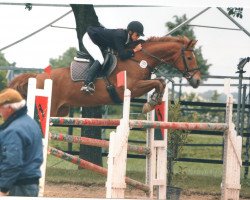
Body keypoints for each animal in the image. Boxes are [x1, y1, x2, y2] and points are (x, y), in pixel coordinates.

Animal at [8, 36, 201, 117]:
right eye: (190, 58)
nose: (197, 80)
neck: (139, 59)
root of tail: (37, 76)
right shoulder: (132, 87)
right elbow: (158, 82)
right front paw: (150, 104)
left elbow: (160, 82)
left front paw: (152, 102)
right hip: (50, 107)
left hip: (62, 110)